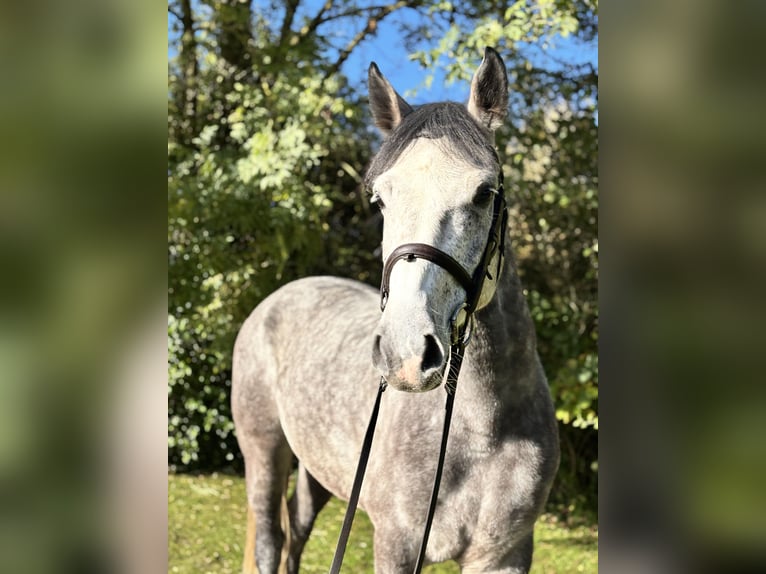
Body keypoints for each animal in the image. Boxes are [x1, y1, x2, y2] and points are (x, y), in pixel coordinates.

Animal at [232, 47, 559, 574]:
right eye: (380, 200)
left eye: (484, 193)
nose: (405, 353)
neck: (485, 432)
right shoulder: (396, 544)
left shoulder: (506, 554)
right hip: (262, 448)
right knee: (269, 540)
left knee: (295, 535)